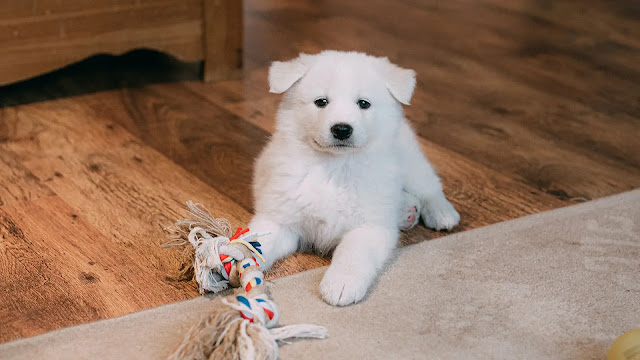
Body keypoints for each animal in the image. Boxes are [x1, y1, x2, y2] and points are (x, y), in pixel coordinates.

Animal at [250, 50, 460, 306]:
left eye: (363, 104)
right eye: (321, 102)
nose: (342, 129)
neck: (334, 167)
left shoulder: (368, 227)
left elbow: (353, 253)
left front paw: (341, 283)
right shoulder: (280, 218)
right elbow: (257, 241)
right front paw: (229, 258)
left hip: (410, 162)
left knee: (429, 186)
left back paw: (441, 213)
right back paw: (406, 211)